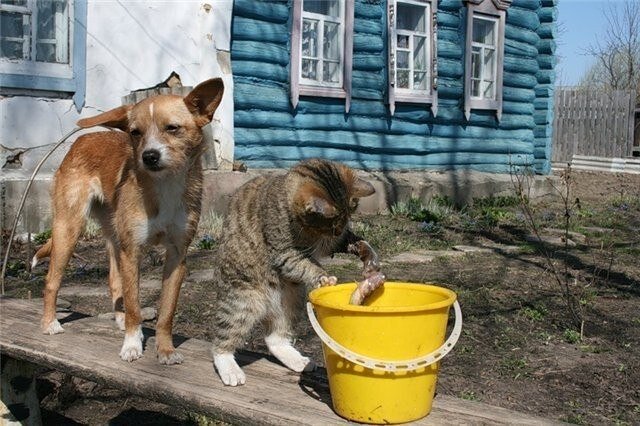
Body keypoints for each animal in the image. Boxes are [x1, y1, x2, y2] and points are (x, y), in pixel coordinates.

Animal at [31, 79, 225, 362]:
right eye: (135, 132)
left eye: (172, 128)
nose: (149, 156)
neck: (164, 185)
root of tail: (84, 138)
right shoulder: (132, 251)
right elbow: (135, 304)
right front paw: (132, 344)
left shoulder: (177, 256)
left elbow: (166, 312)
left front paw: (165, 349)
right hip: (70, 228)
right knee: (51, 281)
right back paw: (49, 323)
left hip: (114, 237)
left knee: (115, 281)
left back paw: (119, 318)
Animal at [210, 159, 378, 386]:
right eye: (331, 224)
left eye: (343, 221)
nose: (337, 232)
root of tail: (268, 304)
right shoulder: (284, 252)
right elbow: (305, 263)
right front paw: (323, 276)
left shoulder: (334, 242)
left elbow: (354, 241)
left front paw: (368, 254)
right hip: (242, 302)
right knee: (221, 342)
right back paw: (229, 368)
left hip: (291, 301)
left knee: (274, 339)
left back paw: (298, 361)